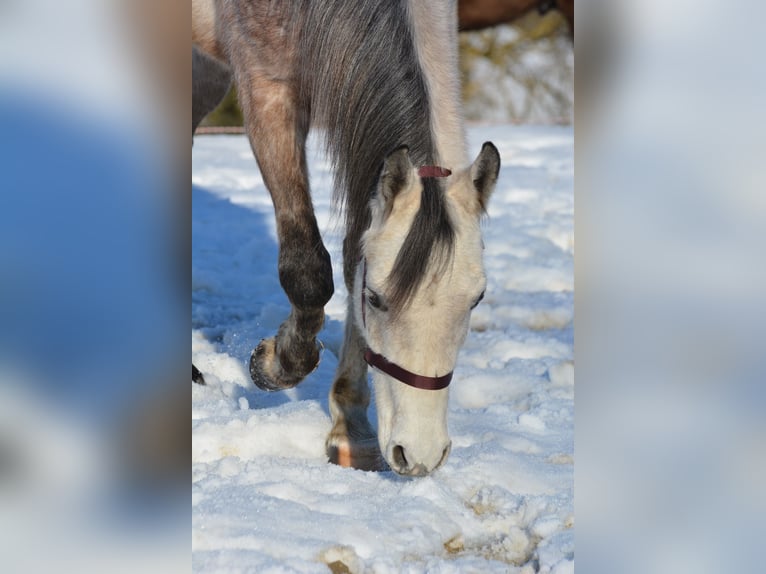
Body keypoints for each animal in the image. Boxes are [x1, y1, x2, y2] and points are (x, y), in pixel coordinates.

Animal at [192, 0, 500, 476]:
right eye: (375, 299)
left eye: (477, 299)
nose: (420, 455)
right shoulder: (266, 88)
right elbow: (308, 268)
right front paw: (276, 365)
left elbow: (354, 248)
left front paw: (351, 429)